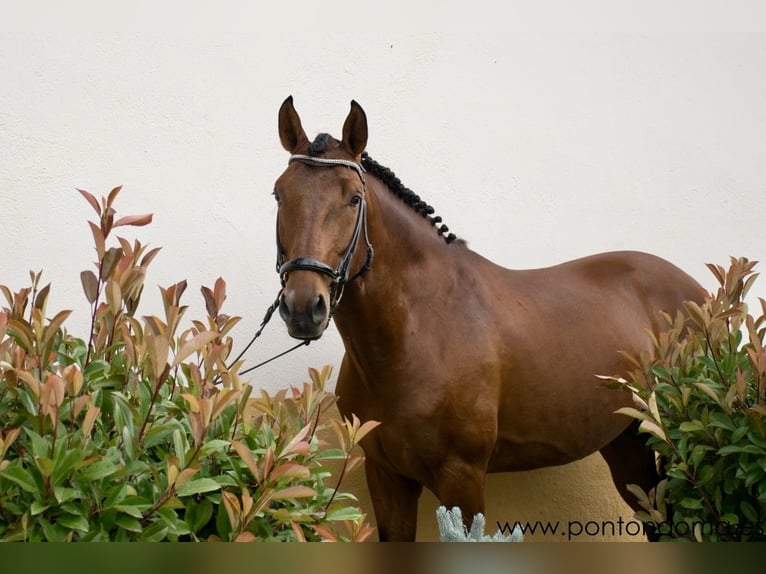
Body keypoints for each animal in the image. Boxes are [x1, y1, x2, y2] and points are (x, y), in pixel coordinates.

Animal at [274, 95, 708, 544]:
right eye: (279, 195)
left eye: (353, 199)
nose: (304, 306)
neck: (417, 330)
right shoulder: (386, 476)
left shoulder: (461, 477)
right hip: (628, 442)